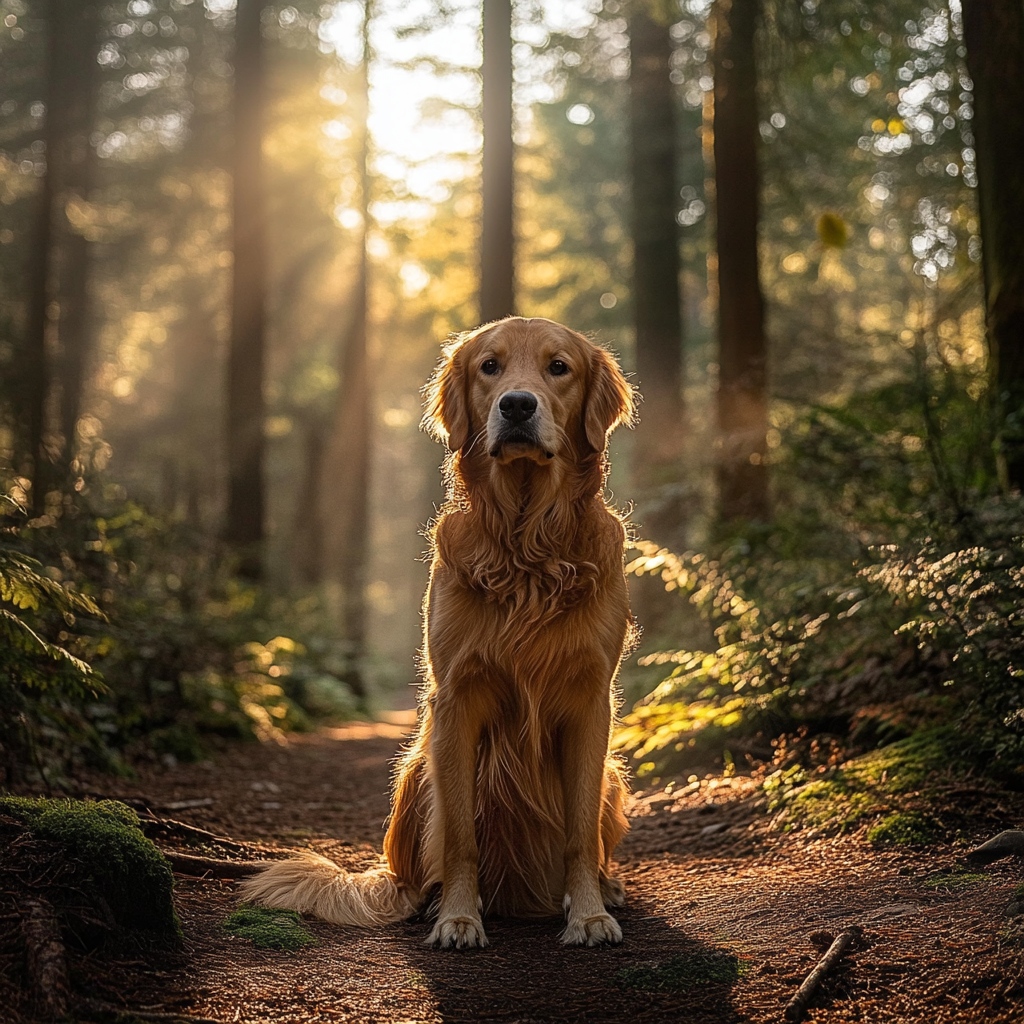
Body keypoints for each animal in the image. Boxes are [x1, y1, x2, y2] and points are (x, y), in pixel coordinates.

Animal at [242, 315, 634, 946]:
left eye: (559, 368)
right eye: (489, 367)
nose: (517, 405)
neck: (527, 546)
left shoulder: (591, 698)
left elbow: (580, 831)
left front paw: (590, 914)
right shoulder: (455, 699)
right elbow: (460, 838)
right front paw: (458, 917)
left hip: (615, 775)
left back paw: (608, 888)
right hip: (417, 769)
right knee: (419, 866)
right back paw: (427, 902)